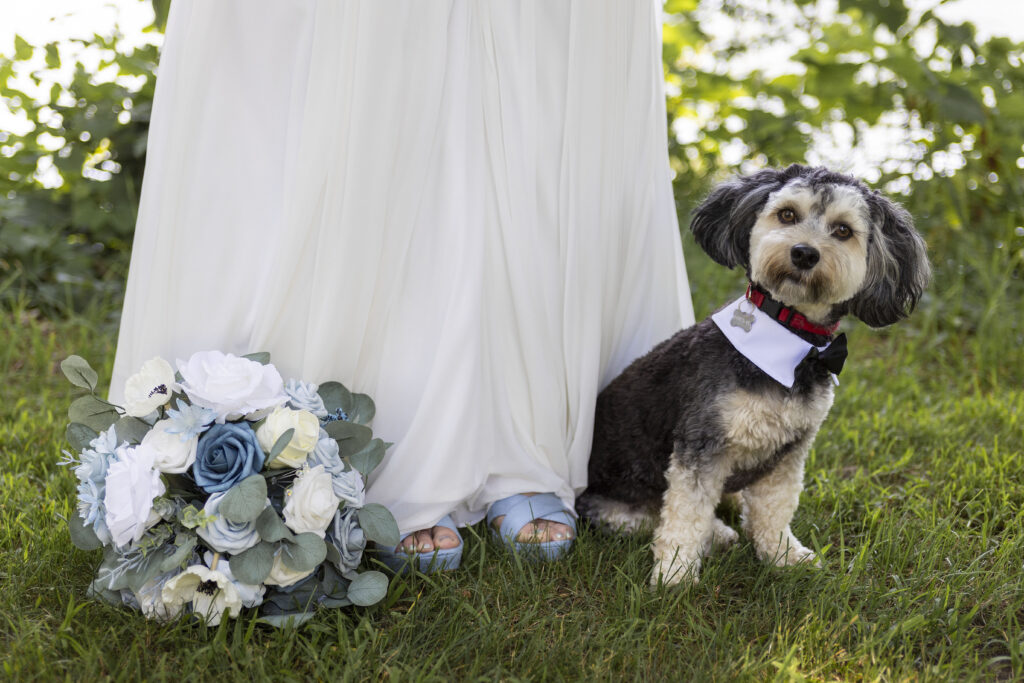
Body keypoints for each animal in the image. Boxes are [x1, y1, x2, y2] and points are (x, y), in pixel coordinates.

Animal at [581, 162, 933, 585]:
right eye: (788, 214)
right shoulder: (702, 443)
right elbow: (686, 513)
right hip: (617, 505)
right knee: (650, 516)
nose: (804, 253)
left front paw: (782, 555)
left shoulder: (789, 450)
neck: (794, 341)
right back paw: (715, 535)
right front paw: (675, 576)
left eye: (843, 231)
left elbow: (774, 509)